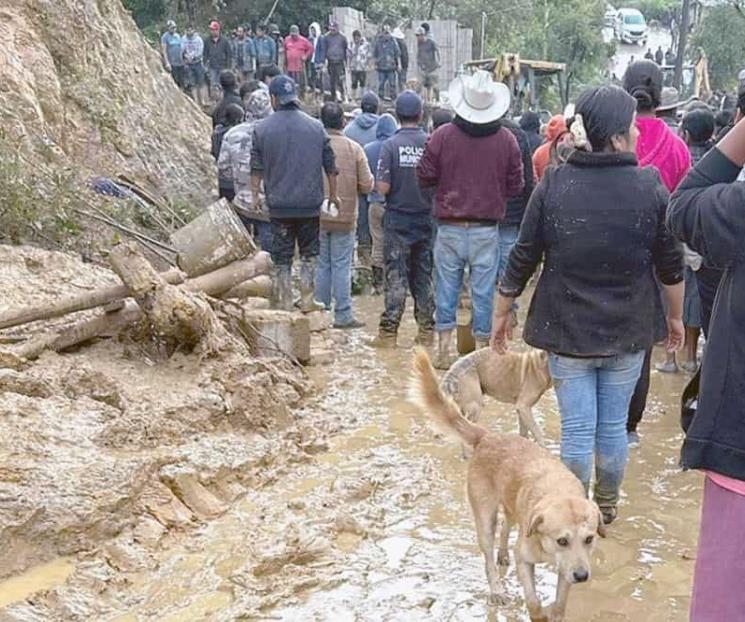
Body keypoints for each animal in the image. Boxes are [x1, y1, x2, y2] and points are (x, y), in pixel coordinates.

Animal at [412, 348, 604, 620]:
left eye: (589, 539)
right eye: (562, 541)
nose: (582, 576)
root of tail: (487, 436)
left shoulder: (566, 569)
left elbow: (560, 601)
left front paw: (555, 612)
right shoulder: (525, 559)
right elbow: (533, 601)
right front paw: (537, 613)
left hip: (512, 510)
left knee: (505, 528)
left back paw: (502, 555)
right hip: (484, 518)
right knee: (488, 557)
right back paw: (496, 589)